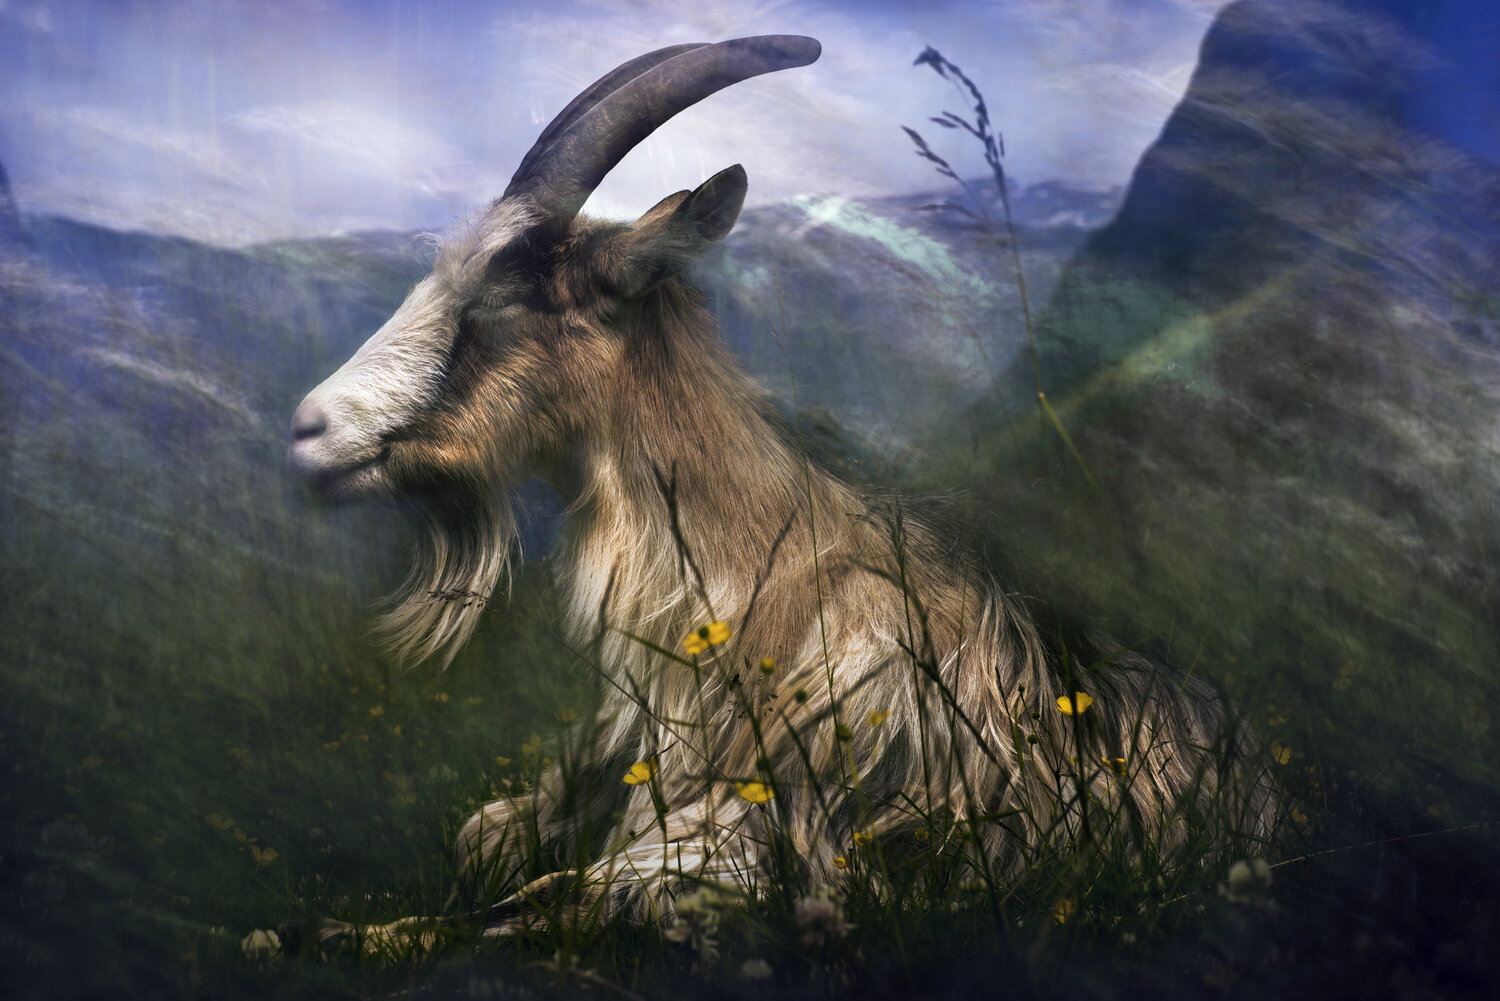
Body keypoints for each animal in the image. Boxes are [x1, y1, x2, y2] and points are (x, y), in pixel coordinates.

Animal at [288, 35, 1274, 938]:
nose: (309, 432)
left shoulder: (756, 841)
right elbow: (479, 842)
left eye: (501, 301)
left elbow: (553, 900)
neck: (739, 590)